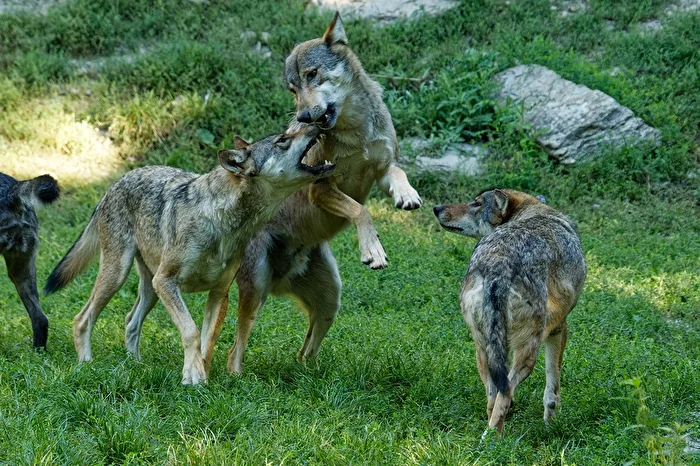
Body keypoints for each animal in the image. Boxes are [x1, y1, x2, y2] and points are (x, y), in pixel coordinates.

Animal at [44, 126, 334, 384]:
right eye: (283, 139)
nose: (318, 123)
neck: (221, 222)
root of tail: (115, 183)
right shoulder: (167, 282)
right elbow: (191, 332)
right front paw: (192, 377)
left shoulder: (219, 293)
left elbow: (208, 342)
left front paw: (201, 376)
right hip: (120, 276)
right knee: (82, 319)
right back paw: (86, 364)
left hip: (150, 289)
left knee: (129, 320)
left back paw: (134, 364)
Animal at [123, 12, 423, 375]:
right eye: (293, 89)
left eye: (312, 75)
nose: (304, 119)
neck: (355, 132)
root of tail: (284, 276)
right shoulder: (321, 189)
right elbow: (360, 210)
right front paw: (372, 250)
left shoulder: (381, 168)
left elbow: (398, 175)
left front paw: (407, 197)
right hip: (256, 294)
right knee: (232, 353)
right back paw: (235, 378)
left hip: (330, 300)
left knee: (304, 352)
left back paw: (311, 376)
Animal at [433, 189, 586, 434]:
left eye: (475, 204)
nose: (436, 208)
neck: (535, 212)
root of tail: (498, 267)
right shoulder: (559, 329)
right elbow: (552, 389)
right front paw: (550, 426)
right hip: (528, 353)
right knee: (505, 394)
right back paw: (495, 439)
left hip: (484, 350)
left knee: (492, 398)